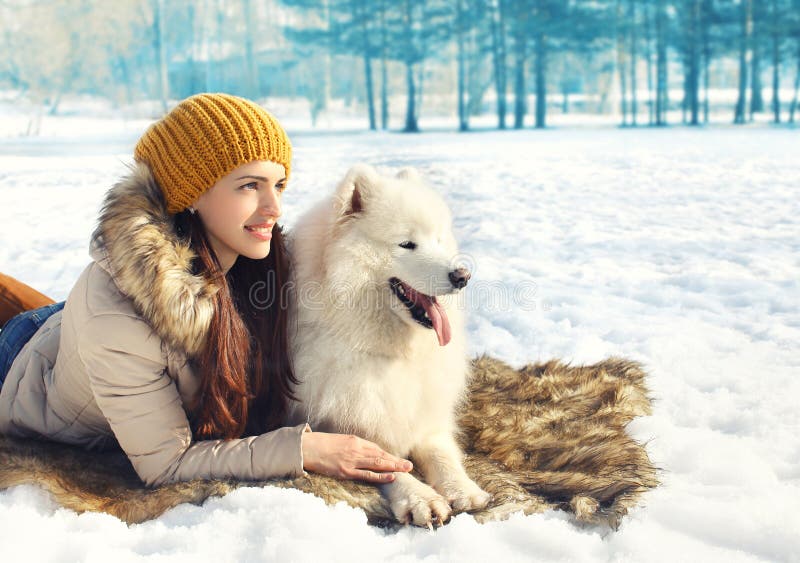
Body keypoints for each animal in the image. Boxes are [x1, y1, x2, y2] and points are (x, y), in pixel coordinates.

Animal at [284, 163, 490, 528]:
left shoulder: (427, 417)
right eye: (407, 244)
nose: (462, 276)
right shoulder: (339, 424)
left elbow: (441, 454)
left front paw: (463, 488)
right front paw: (421, 498)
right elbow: (387, 464)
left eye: (438, 239)